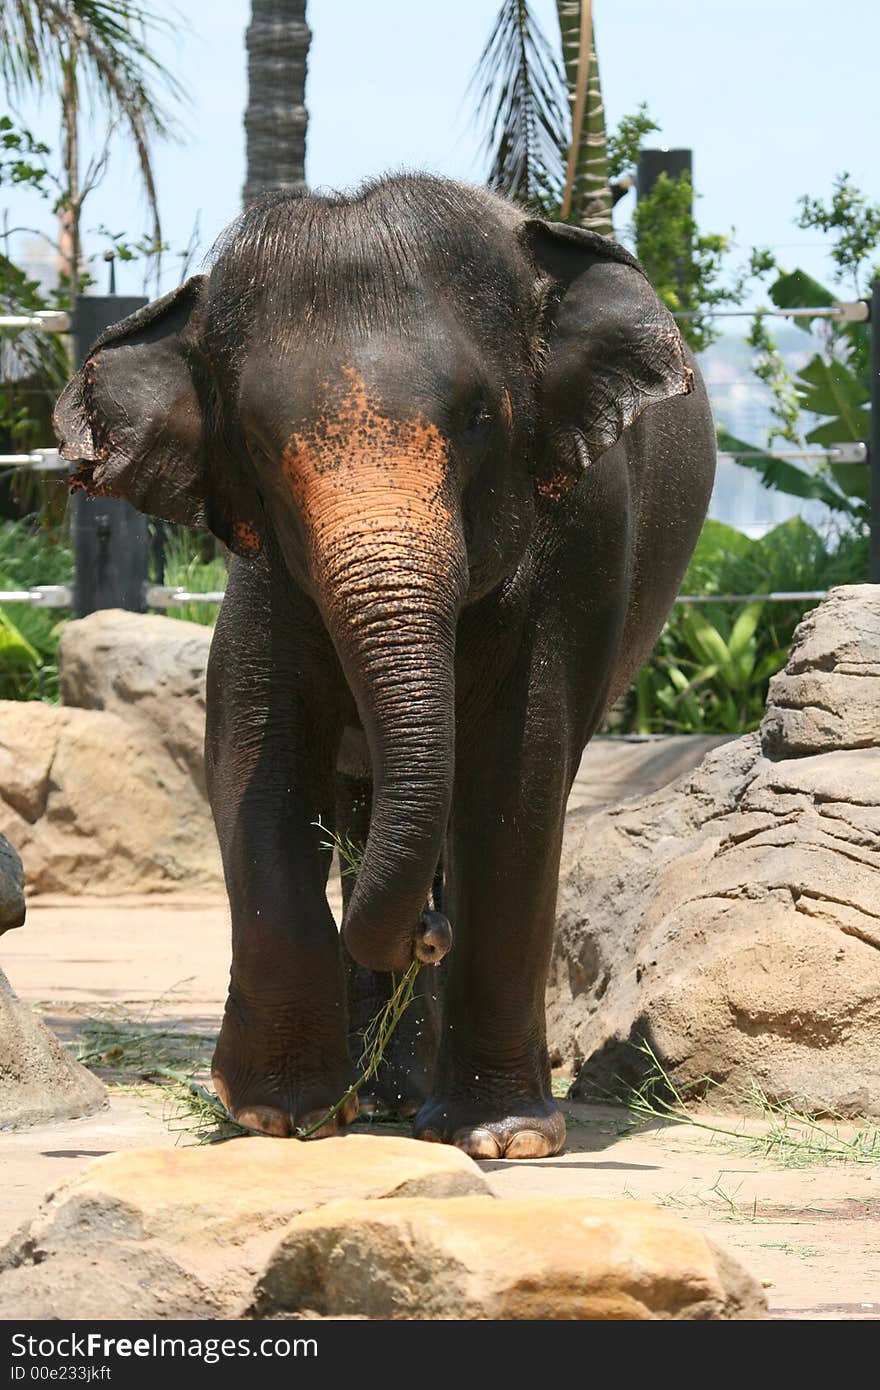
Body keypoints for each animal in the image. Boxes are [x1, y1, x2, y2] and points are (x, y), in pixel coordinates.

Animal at [53, 179, 711, 1167]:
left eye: (478, 418)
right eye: (256, 442)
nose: (428, 938)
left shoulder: (583, 533)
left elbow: (516, 777)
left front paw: (502, 1137)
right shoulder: (261, 565)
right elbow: (255, 755)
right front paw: (279, 1116)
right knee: (358, 815)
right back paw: (380, 1093)